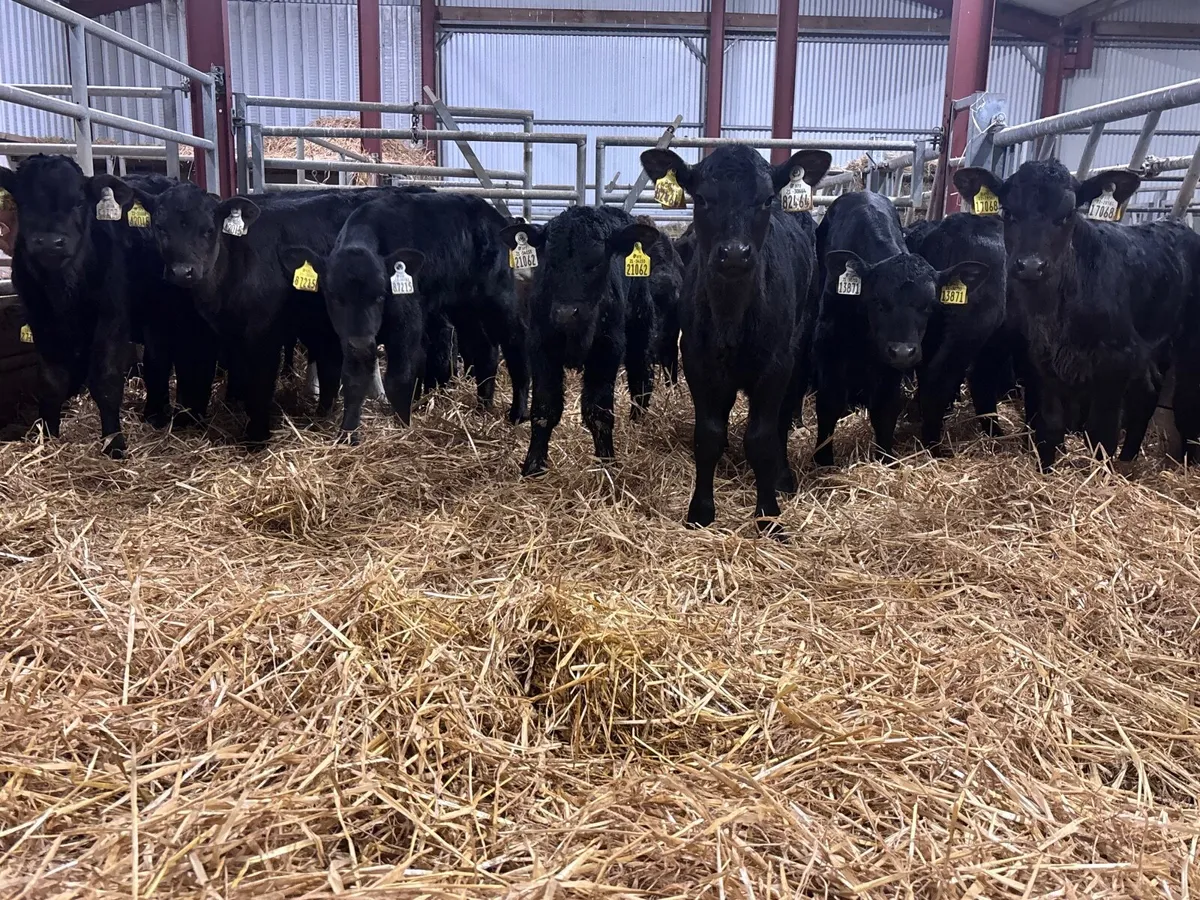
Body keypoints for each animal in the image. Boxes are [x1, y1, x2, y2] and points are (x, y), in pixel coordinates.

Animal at [279, 191, 530, 442]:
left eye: (381, 294)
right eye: (333, 295)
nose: (360, 343)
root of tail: (491, 214)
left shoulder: (406, 324)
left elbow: (399, 379)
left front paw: (403, 426)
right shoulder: (351, 338)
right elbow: (353, 378)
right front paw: (348, 434)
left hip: (498, 294)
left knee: (516, 341)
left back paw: (518, 412)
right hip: (464, 306)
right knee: (485, 349)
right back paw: (482, 407)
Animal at [499, 207, 658, 479]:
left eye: (596, 261)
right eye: (550, 261)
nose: (565, 313)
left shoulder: (608, 349)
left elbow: (599, 412)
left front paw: (607, 465)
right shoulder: (540, 347)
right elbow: (544, 409)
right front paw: (533, 466)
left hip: (640, 323)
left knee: (641, 375)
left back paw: (638, 419)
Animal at [639, 145, 831, 539]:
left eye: (766, 199)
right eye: (701, 198)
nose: (734, 253)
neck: (731, 316)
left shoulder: (776, 367)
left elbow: (762, 439)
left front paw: (769, 516)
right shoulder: (697, 362)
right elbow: (708, 435)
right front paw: (700, 511)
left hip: (801, 348)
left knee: (783, 417)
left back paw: (783, 476)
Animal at [813, 191, 990, 467]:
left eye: (928, 304)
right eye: (878, 301)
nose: (903, 351)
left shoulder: (890, 363)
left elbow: (886, 408)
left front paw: (885, 458)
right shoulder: (828, 342)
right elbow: (829, 403)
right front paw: (823, 461)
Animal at [954, 160, 1200, 469]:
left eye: (1069, 213)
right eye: (1007, 211)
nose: (1031, 266)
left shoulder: (1116, 365)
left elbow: (1101, 434)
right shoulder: (1043, 363)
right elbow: (1049, 428)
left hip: (1188, 341)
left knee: (1185, 401)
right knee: (1148, 394)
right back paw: (1128, 461)